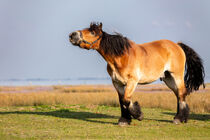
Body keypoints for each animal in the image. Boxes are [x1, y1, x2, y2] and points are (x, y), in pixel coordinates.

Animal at [69, 22, 205, 126]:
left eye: (93, 32)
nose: (72, 35)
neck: (121, 57)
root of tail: (177, 45)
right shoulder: (117, 83)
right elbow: (122, 101)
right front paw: (125, 120)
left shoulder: (132, 81)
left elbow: (126, 100)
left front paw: (138, 115)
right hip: (168, 78)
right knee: (178, 95)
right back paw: (181, 117)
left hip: (176, 76)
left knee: (181, 93)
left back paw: (178, 119)